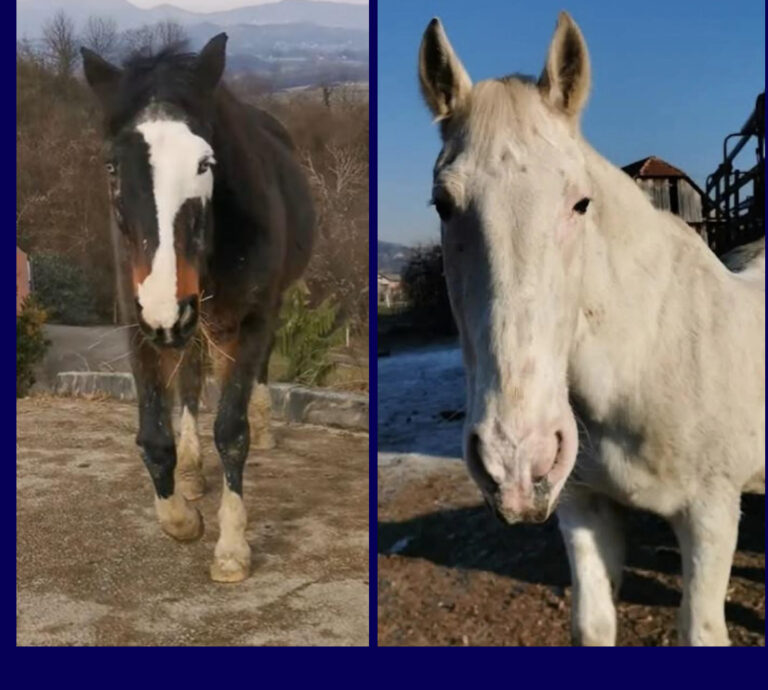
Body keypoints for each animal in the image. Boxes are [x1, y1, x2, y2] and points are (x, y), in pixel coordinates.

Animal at [82, 35, 316, 576]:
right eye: (111, 166)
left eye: (205, 164)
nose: (169, 310)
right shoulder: (139, 318)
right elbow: (153, 434)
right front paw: (181, 519)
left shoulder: (249, 317)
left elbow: (231, 430)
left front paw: (231, 546)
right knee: (188, 379)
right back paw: (190, 470)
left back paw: (263, 421)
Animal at [416, 12, 764, 644]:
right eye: (443, 205)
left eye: (580, 203)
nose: (515, 460)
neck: (648, 359)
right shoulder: (583, 509)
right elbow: (593, 623)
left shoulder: (712, 514)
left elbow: (700, 629)